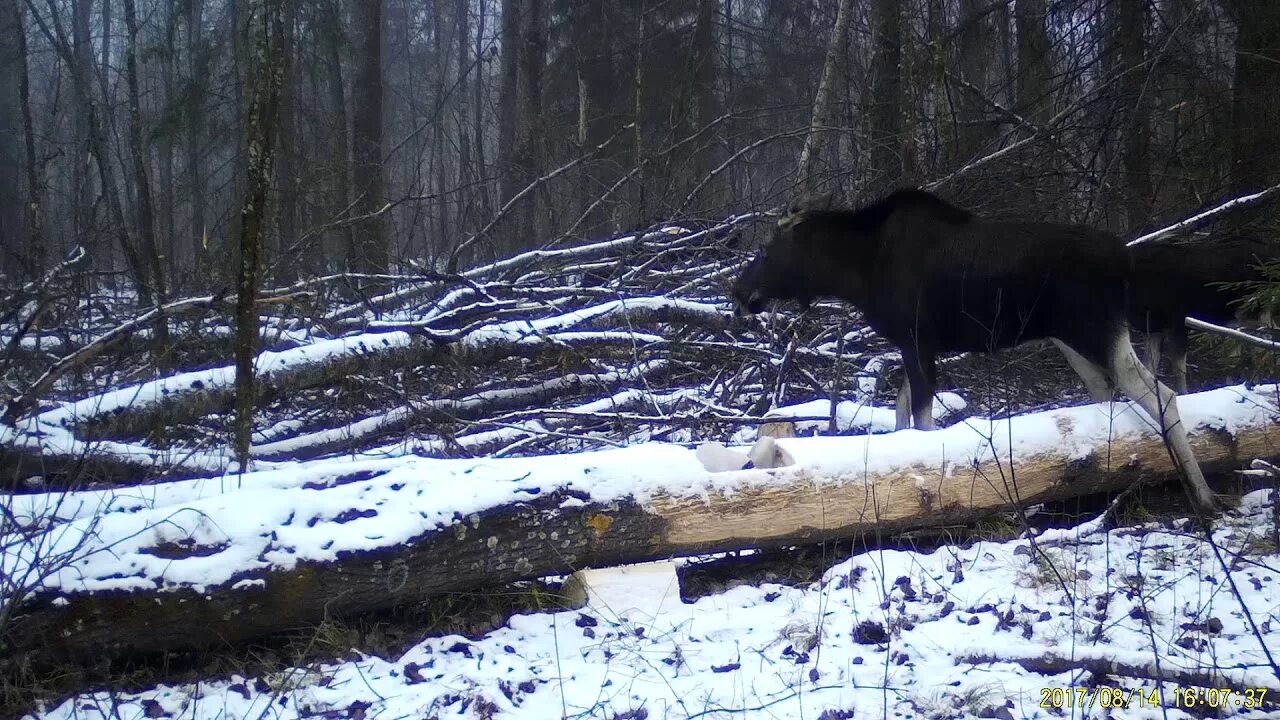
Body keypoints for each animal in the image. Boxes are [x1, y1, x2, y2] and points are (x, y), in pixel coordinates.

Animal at [732, 184, 1218, 509]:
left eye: (766, 251)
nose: (738, 292)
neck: (856, 275)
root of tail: (1126, 260)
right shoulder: (914, 344)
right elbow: (903, 411)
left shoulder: (918, 338)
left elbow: (922, 419)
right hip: (1071, 339)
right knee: (1106, 396)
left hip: (1096, 331)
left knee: (1162, 395)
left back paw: (1203, 495)